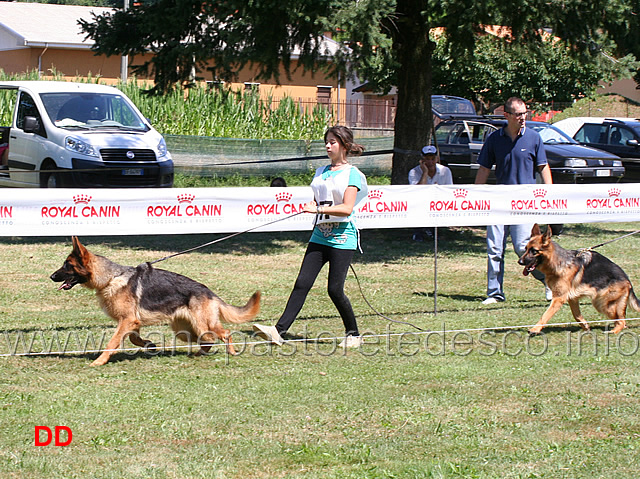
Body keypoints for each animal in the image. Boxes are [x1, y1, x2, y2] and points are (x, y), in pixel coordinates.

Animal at [50, 237, 260, 368]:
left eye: (67, 265)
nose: (51, 276)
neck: (110, 278)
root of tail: (210, 292)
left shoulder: (127, 320)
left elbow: (113, 341)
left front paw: (100, 361)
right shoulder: (132, 322)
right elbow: (133, 339)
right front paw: (149, 345)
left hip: (204, 325)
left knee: (223, 333)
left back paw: (231, 352)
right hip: (183, 329)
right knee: (206, 340)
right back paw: (198, 354)